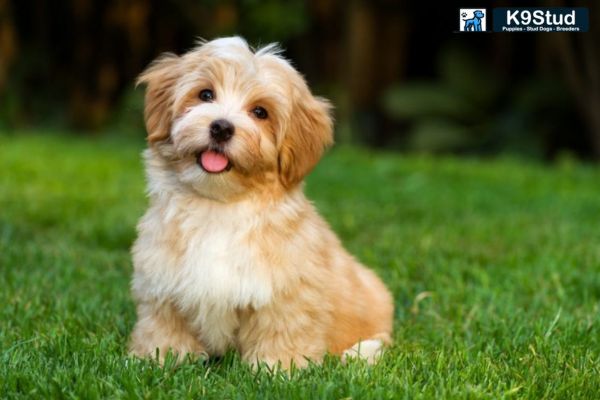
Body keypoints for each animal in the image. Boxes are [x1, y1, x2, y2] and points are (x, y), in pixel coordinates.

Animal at [127, 37, 394, 368]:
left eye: (260, 112)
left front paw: (277, 367)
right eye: (205, 94)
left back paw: (361, 352)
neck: (219, 205)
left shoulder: (286, 291)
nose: (221, 127)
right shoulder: (162, 282)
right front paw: (160, 357)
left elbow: (282, 328)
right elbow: (164, 324)